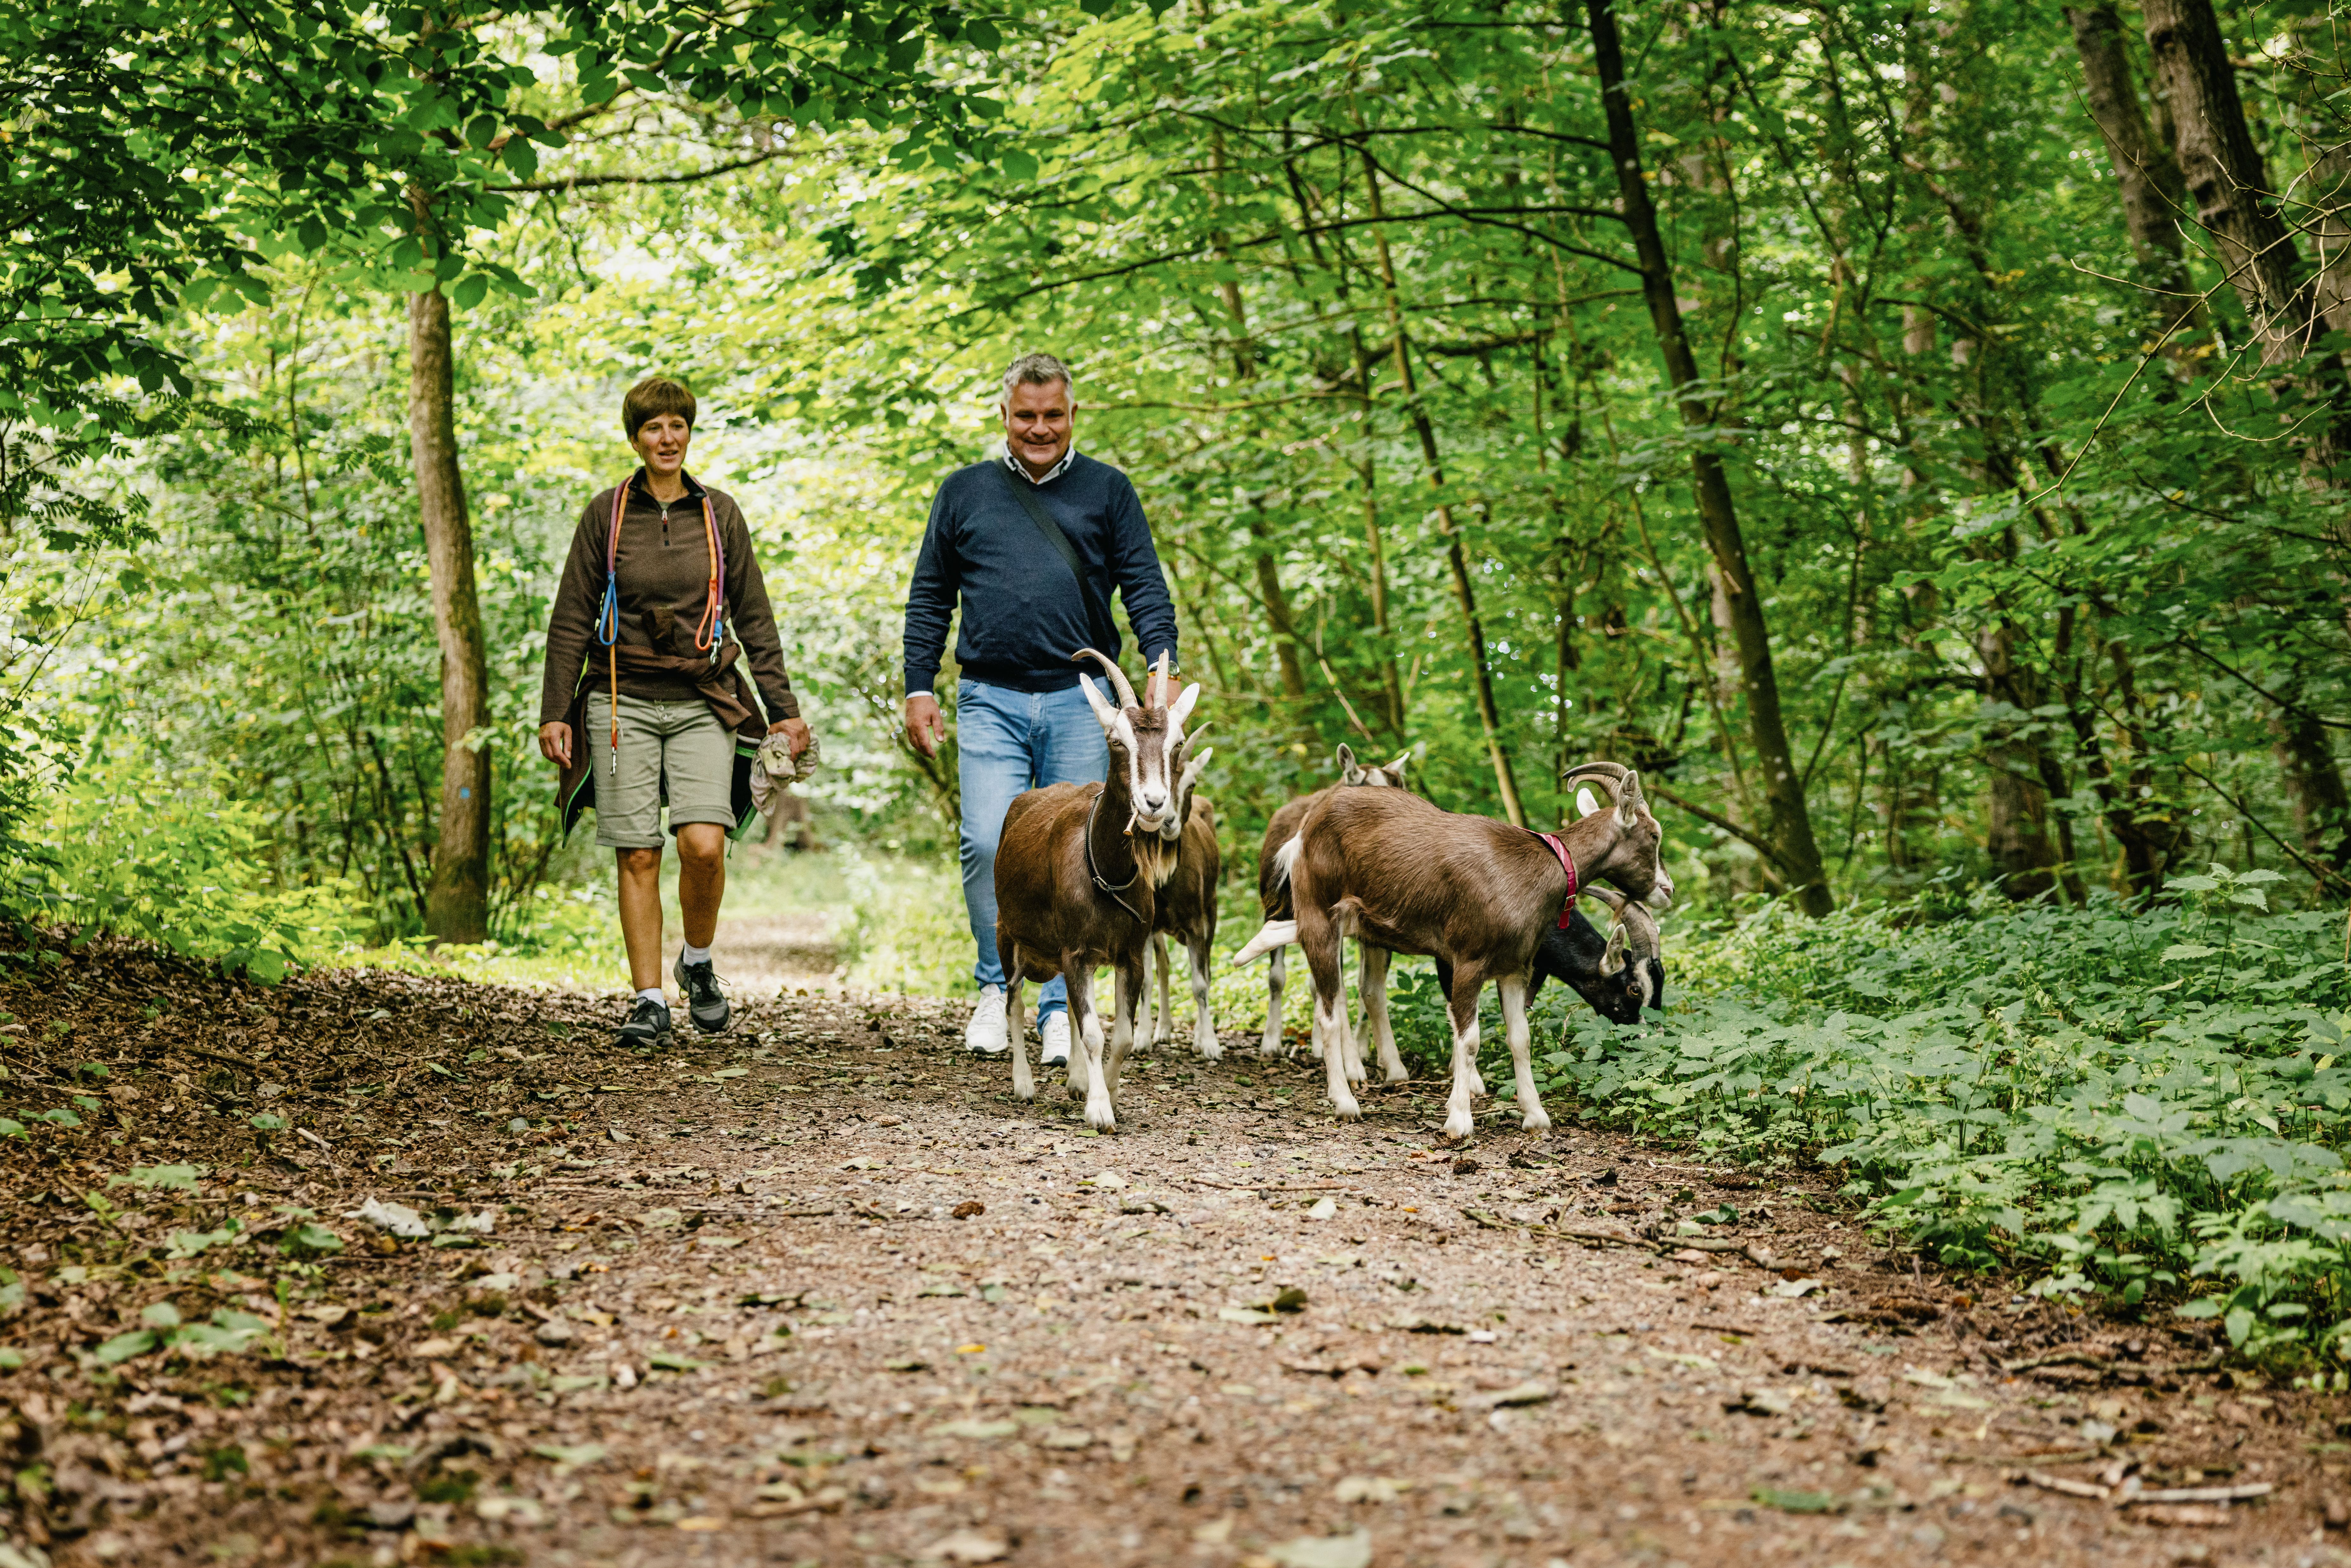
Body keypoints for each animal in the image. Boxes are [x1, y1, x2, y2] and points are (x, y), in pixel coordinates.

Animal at [1002, 649, 1204, 1128]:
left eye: (1176, 745)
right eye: (1116, 742)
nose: (1154, 804)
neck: (1107, 873)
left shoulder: (1127, 953)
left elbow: (1124, 1036)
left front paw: (1105, 1091)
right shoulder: (1075, 951)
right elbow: (1094, 1031)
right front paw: (1098, 1110)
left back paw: (1076, 1079)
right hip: (1008, 935)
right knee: (1012, 1000)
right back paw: (1023, 1084)